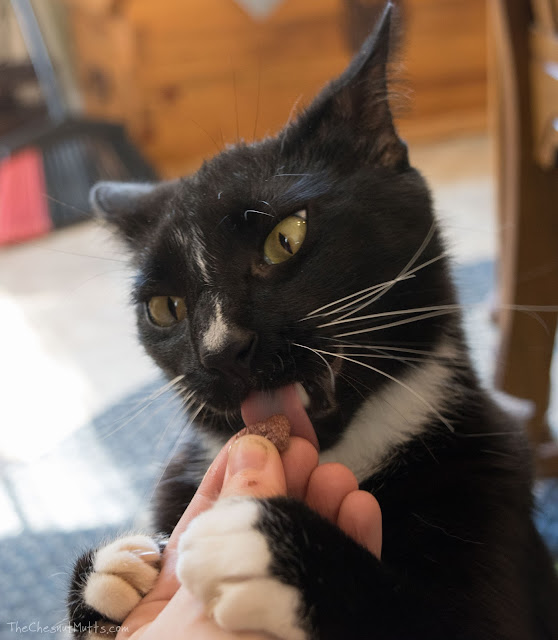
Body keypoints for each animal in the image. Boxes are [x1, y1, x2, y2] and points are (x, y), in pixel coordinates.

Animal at [68, 5, 558, 640]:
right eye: (164, 308)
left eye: (286, 237)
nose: (220, 349)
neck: (344, 457)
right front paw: (114, 571)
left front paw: (262, 549)